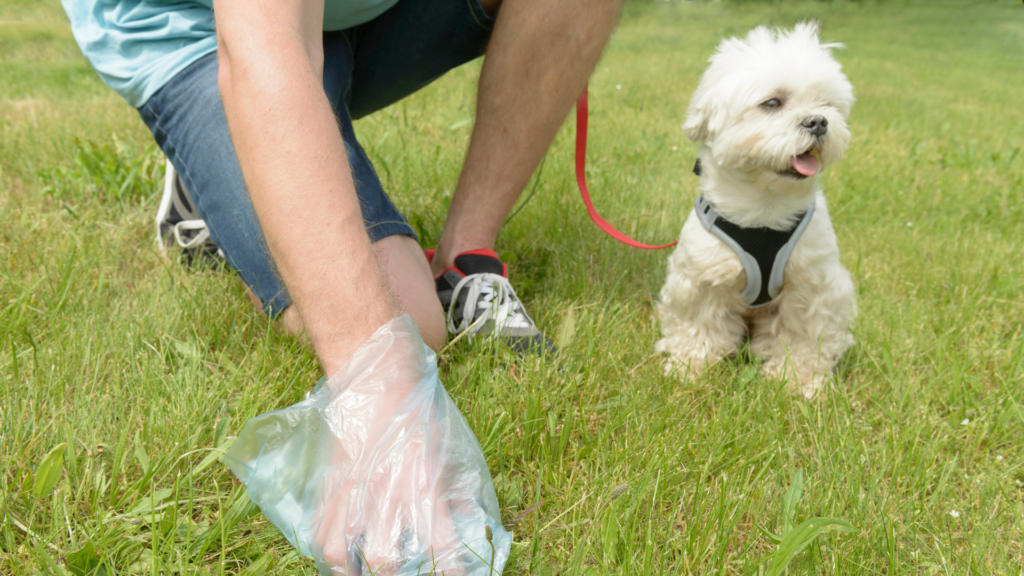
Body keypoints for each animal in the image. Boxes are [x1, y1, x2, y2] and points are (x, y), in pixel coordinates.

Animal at [655, 23, 856, 399]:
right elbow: (697, 327)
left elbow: (805, 337)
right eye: (772, 103)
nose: (819, 122)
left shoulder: (813, 285)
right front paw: (690, 366)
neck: (764, 210)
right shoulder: (701, 277)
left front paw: (800, 381)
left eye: (826, 104)